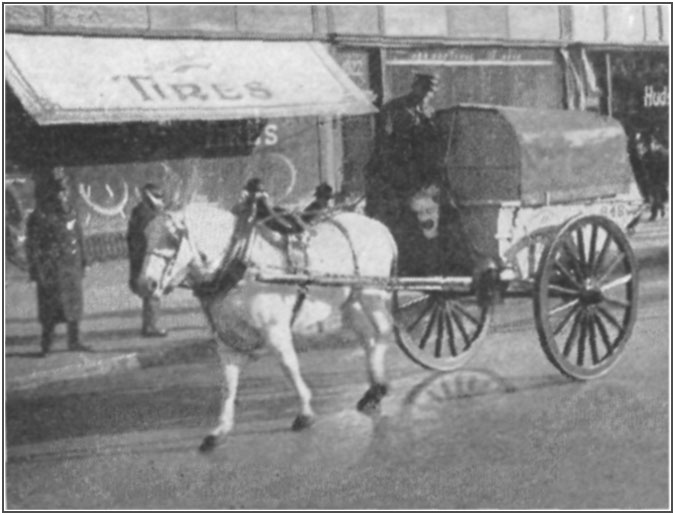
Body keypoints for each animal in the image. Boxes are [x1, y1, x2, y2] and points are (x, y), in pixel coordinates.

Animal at [139, 196, 398, 450]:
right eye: (146, 235)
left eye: (173, 237)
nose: (146, 283)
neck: (241, 264)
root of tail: (380, 227)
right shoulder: (227, 340)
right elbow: (227, 384)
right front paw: (221, 429)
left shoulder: (275, 331)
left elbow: (289, 367)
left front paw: (305, 413)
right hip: (351, 300)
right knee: (369, 338)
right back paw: (374, 390)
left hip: (370, 292)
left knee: (385, 330)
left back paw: (380, 383)